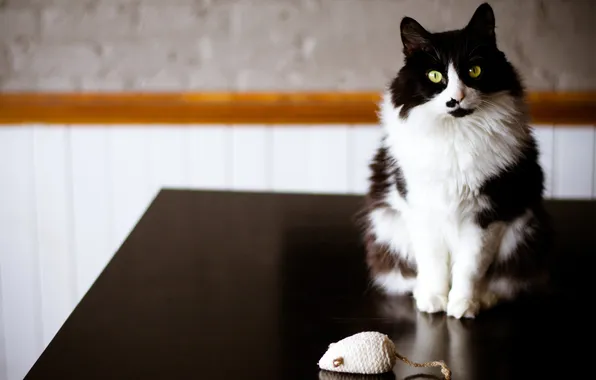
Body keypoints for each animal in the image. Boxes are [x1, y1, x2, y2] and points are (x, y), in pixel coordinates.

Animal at [360, 2, 552, 320]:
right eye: (435, 76)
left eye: (474, 70)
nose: (456, 98)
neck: (455, 135)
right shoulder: (422, 209)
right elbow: (434, 264)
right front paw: (434, 300)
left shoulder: (488, 215)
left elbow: (470, 268)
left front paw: (463, 305)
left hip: (524, 233)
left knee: (501, 282)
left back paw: (483, 299)